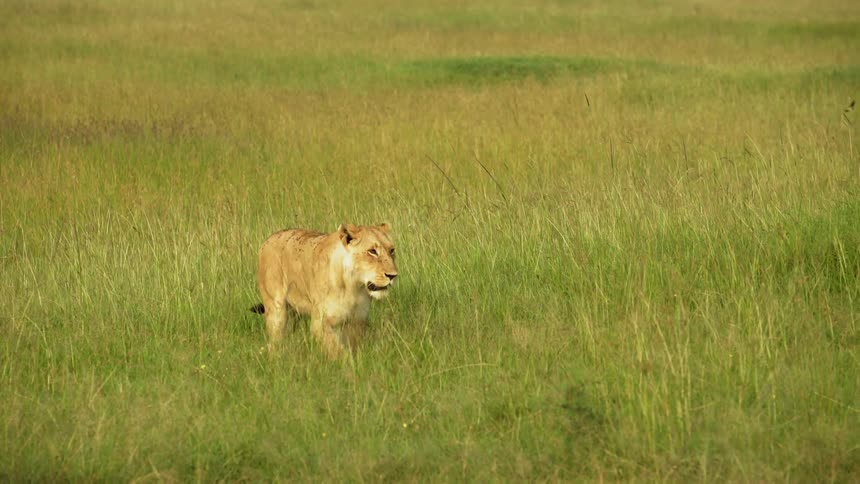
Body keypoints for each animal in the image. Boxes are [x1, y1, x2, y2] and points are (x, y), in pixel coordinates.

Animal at [251, 223, 398, 358]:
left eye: (391, 250)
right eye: (372, 251)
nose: (393, 275)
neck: (353, 287)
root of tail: (268, 239)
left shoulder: (357, 321)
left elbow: (352, 346)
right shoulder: (320, 323)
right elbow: (337, 350)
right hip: (276, 311)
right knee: (275, 342)